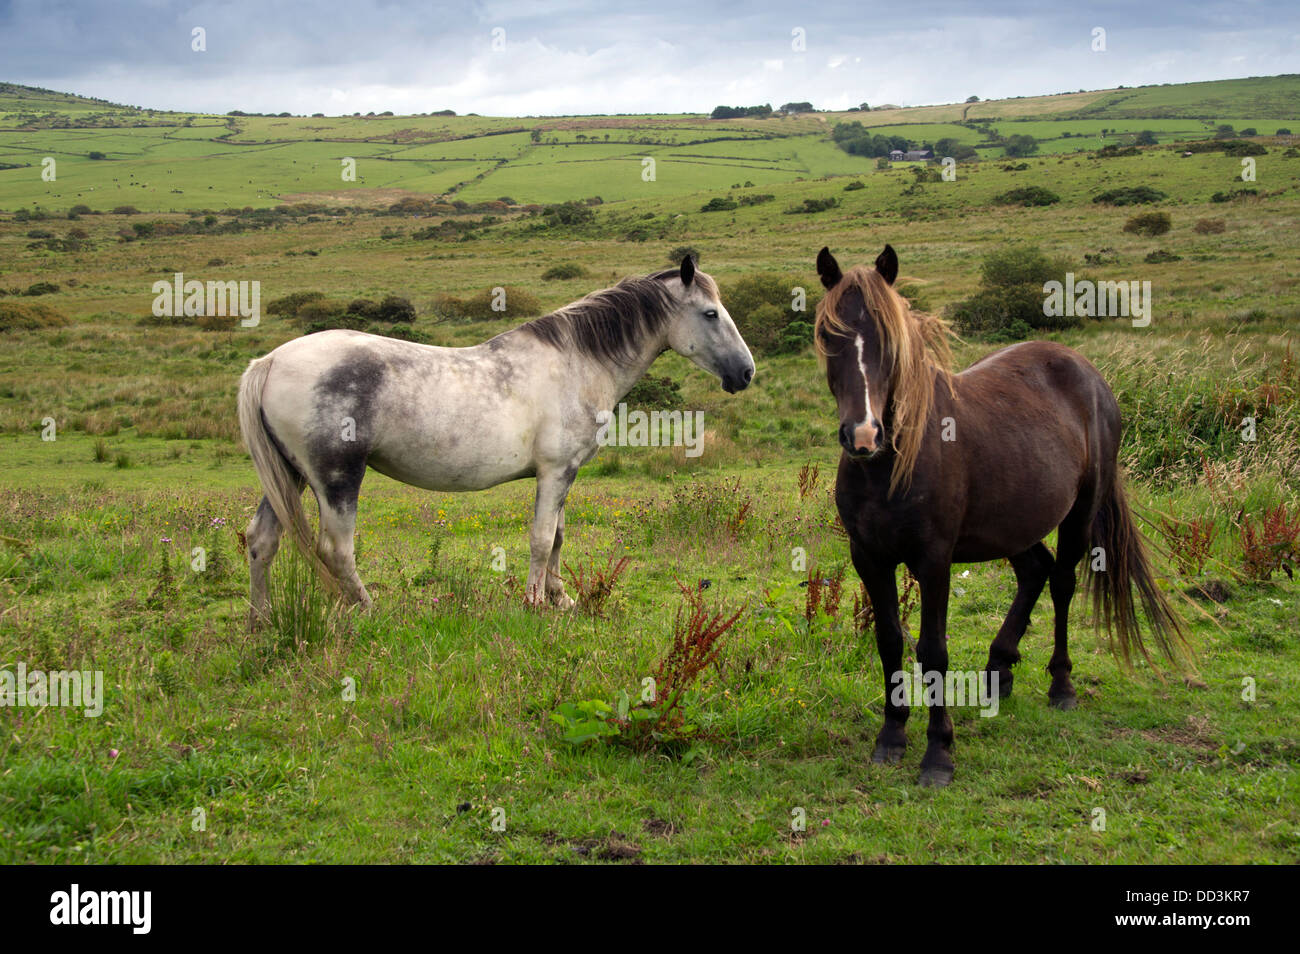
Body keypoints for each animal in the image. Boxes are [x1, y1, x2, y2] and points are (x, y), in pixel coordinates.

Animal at [816, 243, 1190, 790]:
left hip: (1080, 513)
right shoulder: (868, 558)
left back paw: (1061, 686)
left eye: (890, 340)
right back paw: (999, 670)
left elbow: (933, 650)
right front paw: (891, 736)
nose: (863, 435)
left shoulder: (933, 561)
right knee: (1035, 570)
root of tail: (1089, 373)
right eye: (829, 336)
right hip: (1014, 523)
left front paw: (938, 753)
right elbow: (889, 641)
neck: (888, 466)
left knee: (1061, 582)